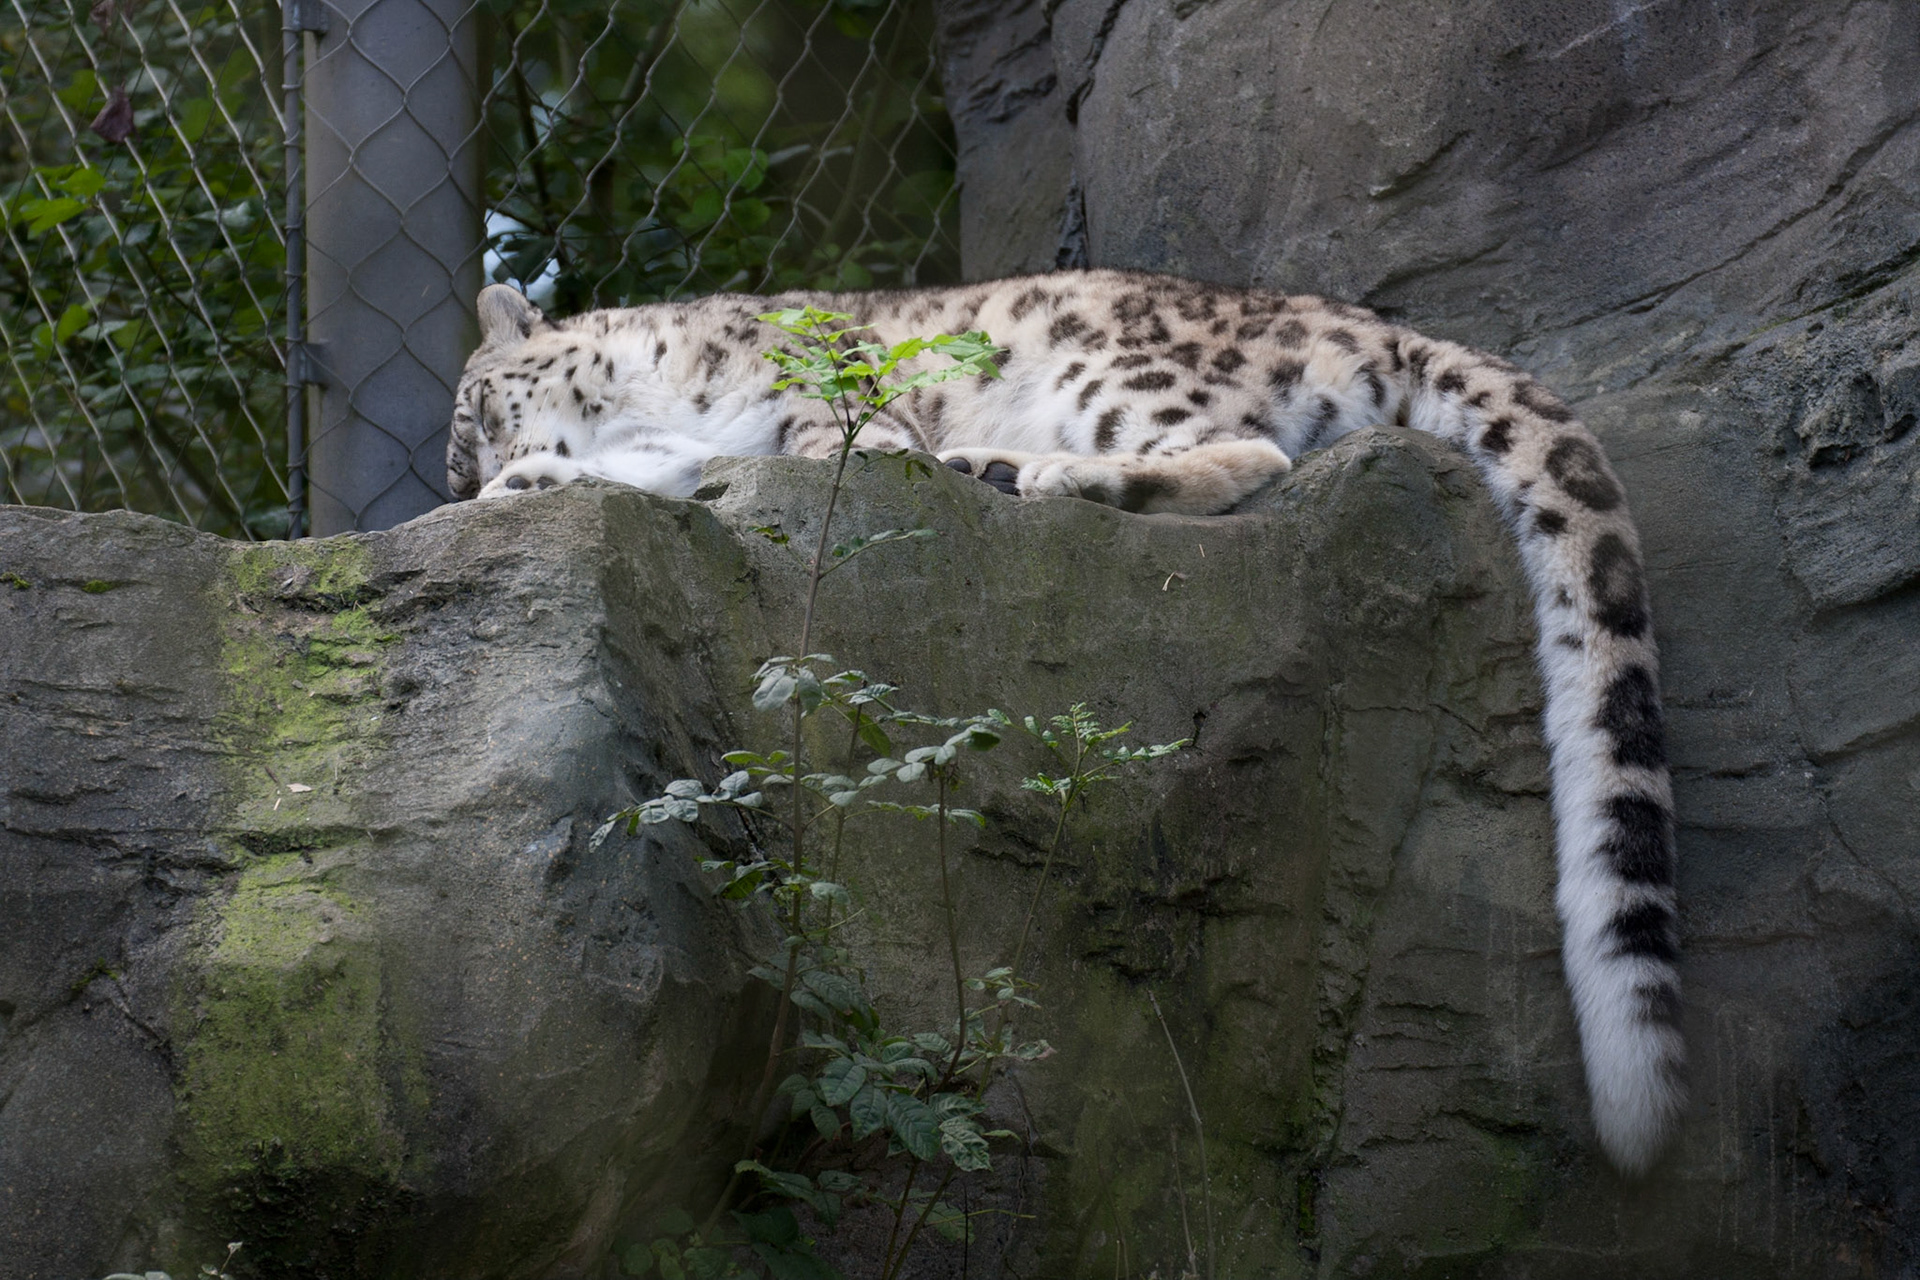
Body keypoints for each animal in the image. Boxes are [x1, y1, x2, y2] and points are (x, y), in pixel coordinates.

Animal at [445, 268, 1684, 1175]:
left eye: (470, 406)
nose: (466, 478)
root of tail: (1350, 315)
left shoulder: (825, 404)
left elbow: (829, 442)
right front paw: (542, 486)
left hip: (1116, 370)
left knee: (1242, 449)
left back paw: (1028, 468)